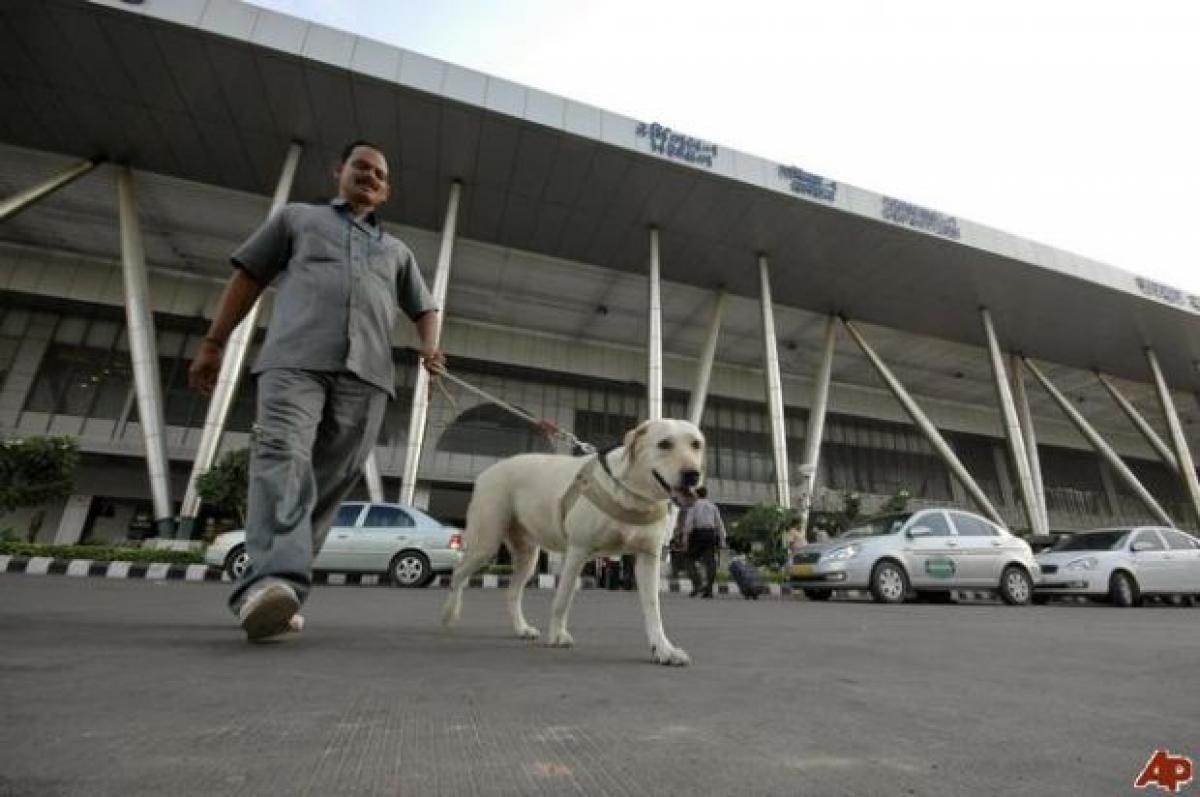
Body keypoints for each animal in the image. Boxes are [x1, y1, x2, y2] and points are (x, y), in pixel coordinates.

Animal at [441, 417, 700, 667]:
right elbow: (563, 598)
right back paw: (449, 614)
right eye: (664, 444)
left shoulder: (648, 558)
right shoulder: (577, 550)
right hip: (485, 542)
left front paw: (664, 649)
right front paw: (557, 635)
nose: (693, 474)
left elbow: (653, 608)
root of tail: (490, 470)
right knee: (458, 573)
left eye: (696, 445)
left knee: (512, 591)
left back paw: (521, 628)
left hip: (527, 556)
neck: (631, 494)